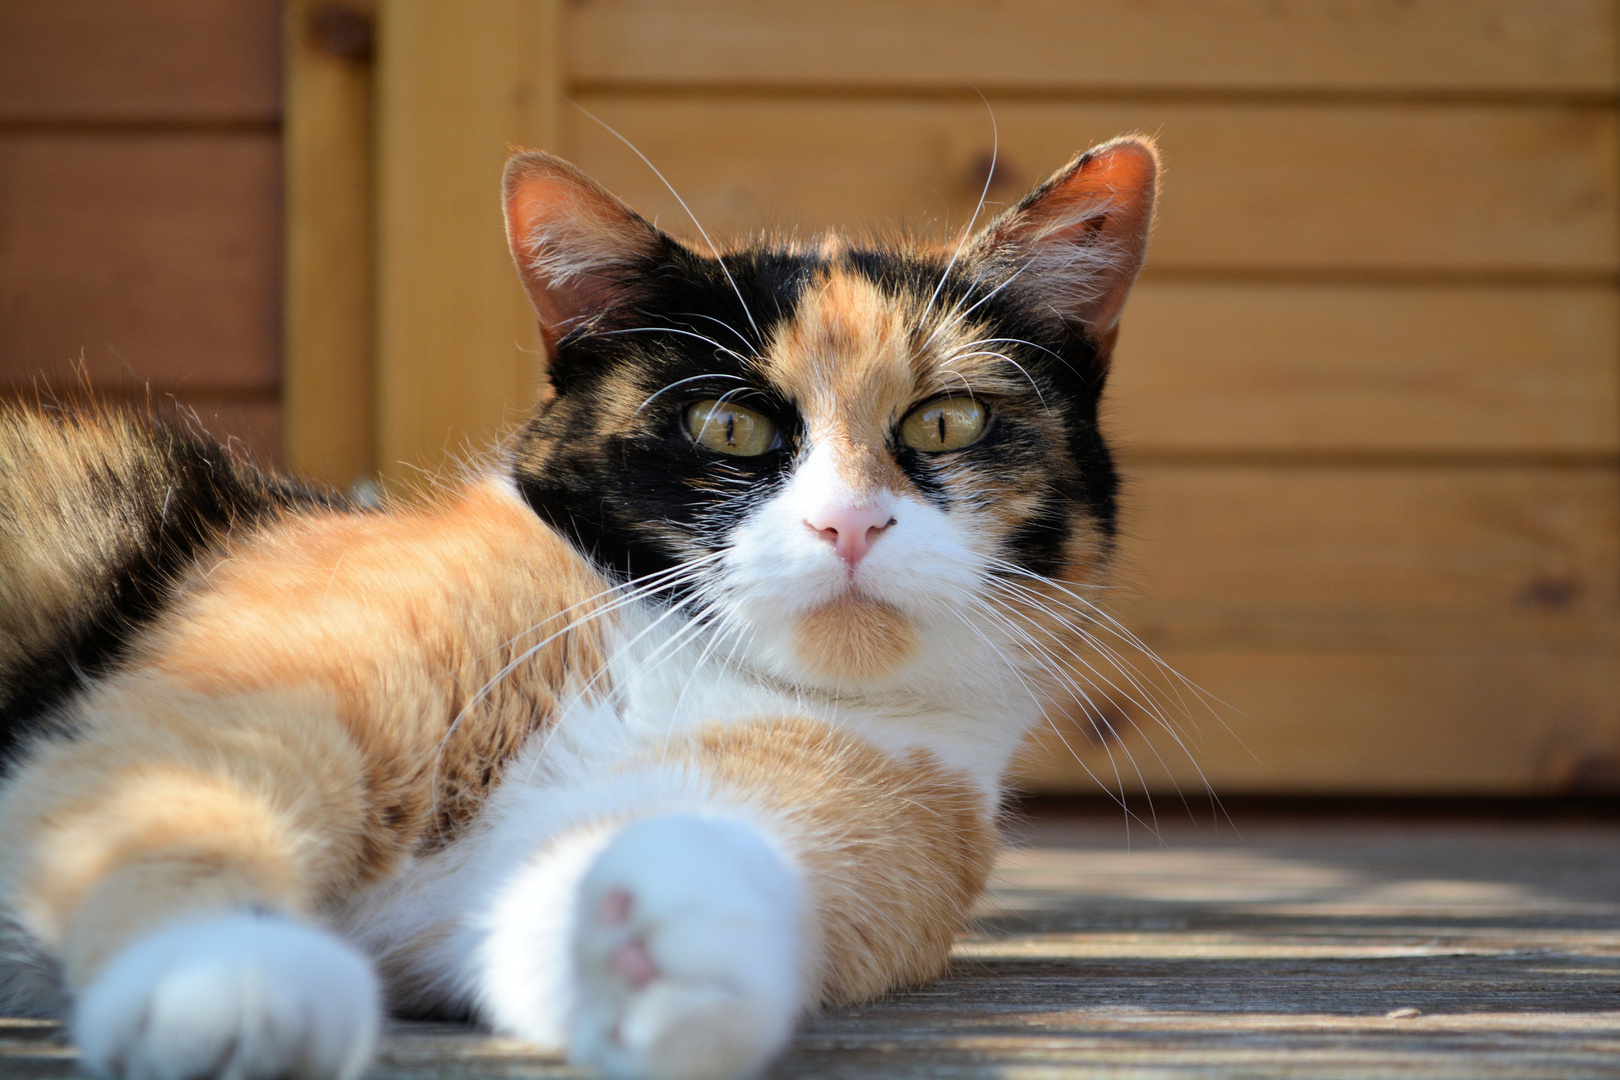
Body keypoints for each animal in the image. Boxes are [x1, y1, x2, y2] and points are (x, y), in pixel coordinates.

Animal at [0, 137, 1166, 1080]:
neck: (665, 664)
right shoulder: (254, 684)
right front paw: (227, 983)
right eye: (729, 426)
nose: (848, 524)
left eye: (947, 421)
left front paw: (654, 942)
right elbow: (179, 798)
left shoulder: (895, 801)